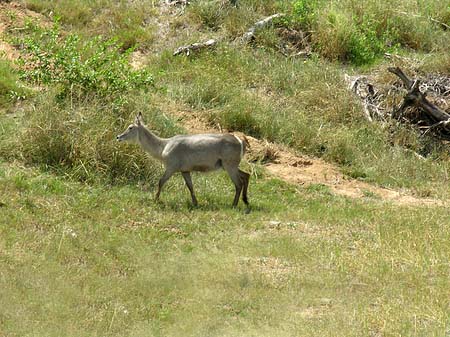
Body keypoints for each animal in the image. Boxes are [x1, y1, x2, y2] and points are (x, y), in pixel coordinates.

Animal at [115, 112, 250, 207]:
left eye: (130, 127)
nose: (118, 137)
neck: (163, 147)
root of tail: (240, 141)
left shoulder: (171, 167)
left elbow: (161, 181)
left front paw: (155, 200)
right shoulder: (185, 170)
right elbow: (190, 186)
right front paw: (195, 203)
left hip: (229, 165)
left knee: (238, 183)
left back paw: (234, 204)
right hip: (230, 165)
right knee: (246, 175)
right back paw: (245, 201)